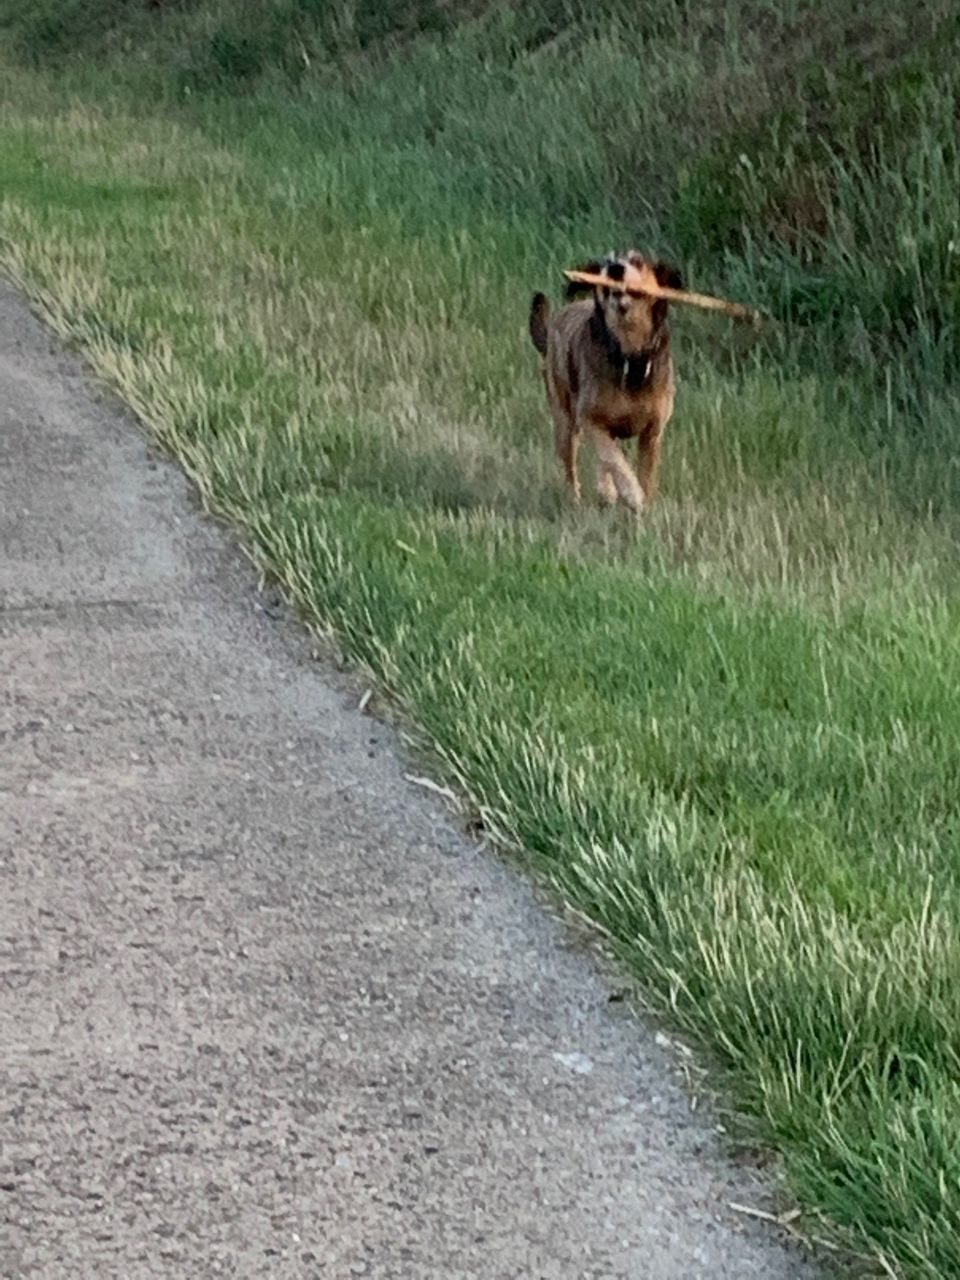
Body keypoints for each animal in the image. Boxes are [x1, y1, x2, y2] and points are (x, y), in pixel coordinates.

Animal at [529, 252, 680, 512]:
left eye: (638, 261)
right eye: (608, 261)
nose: (616, 269)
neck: (630, 357)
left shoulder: (653, 432)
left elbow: (645, 474)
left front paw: (644, 505)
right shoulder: (590, 419)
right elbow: (614, 459)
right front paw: (631, 494)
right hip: (565, 421)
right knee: (572, 468)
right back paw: (580, 498)